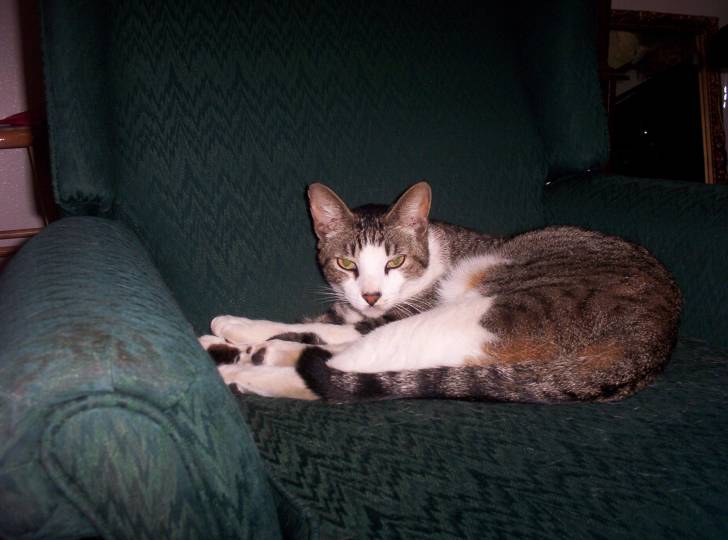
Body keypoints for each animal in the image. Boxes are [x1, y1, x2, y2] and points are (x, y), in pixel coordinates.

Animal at [199, 181, 681, 403]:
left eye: (394, 262)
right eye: (347, 264)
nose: (371, 295)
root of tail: (655, 343)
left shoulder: (392, 315)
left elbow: (322, 332)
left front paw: (239, 332)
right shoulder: (353, 312)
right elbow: (320, 323)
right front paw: (234, 335)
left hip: (479, 311)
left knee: (349, 368)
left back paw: (250, 369)